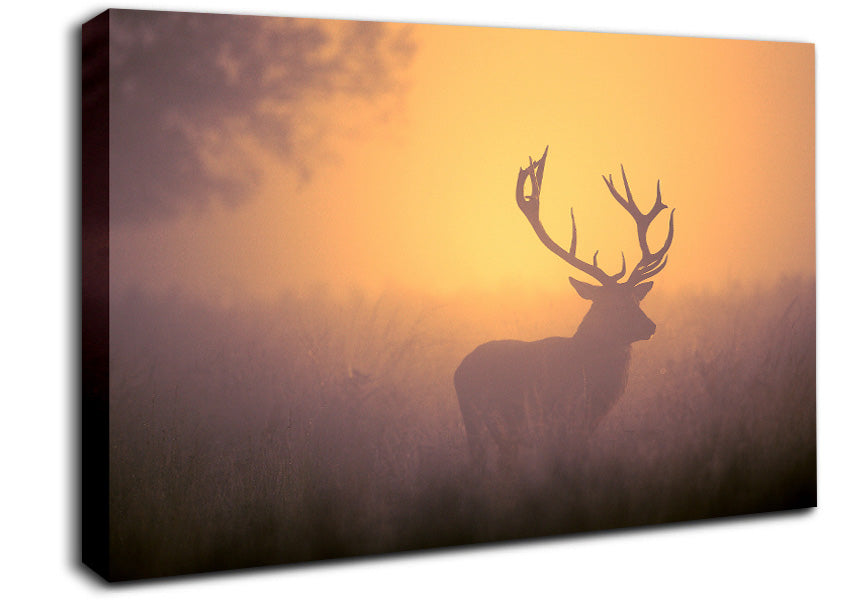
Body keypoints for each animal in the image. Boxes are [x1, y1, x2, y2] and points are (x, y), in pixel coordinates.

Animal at [454, 146, 674, 473]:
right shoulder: (560, 420)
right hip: (478, 420)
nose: (650, 326)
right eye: (612, 305)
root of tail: (458, 370)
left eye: (637, 300)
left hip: (503, 434)